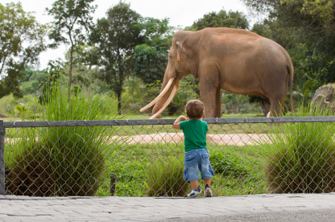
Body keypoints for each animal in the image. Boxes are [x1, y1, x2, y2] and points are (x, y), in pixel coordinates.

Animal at [140, 27, 292, 119]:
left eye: (170, 56)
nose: (160, 117)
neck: (194, 35)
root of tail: (287, 57)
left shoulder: (208, 63)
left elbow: (206, 89)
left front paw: (206, 120)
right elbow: (216, 91)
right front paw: (216, 120)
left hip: (274, 75)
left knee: (275, 99)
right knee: (280, 99)